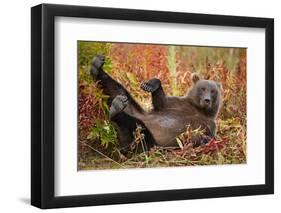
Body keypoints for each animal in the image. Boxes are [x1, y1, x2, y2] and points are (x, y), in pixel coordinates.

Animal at [89, 55, 221, 151]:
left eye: (213, 91)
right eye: (203, 88)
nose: (207, 100)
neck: (197, 109)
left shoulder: (209, 125)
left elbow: (203, 138)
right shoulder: (178, 104)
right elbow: (161, 102)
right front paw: (151, 84)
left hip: (148, 141)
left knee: (134, 129)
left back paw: (116, 110)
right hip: (137, 111)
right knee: (117, 91)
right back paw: (97, 67)